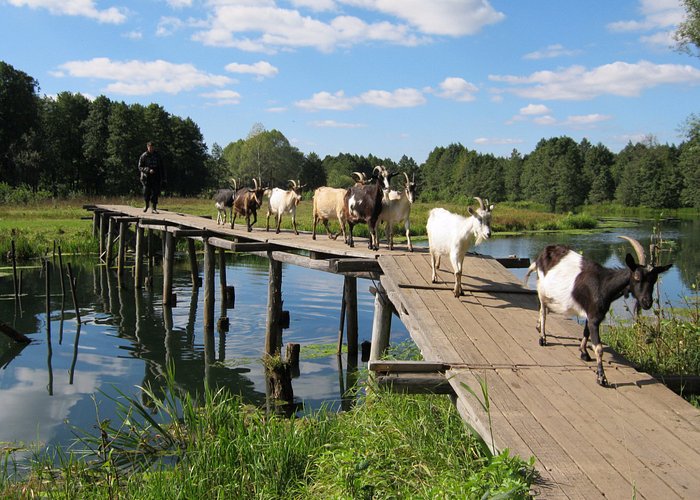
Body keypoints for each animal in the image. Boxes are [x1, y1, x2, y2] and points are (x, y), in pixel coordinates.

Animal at [524, 236, 672, 384]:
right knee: (543, 311)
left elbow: (586, 331)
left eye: (654, 280)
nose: (647, 302)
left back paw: (538, 327)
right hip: (542, 290)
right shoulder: (594, 318)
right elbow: (599, 348)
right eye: (636, 277)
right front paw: (602, 377)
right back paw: (542, 337)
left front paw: (584, 352)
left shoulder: (592, 314)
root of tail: (543, 253)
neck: (603, 285)